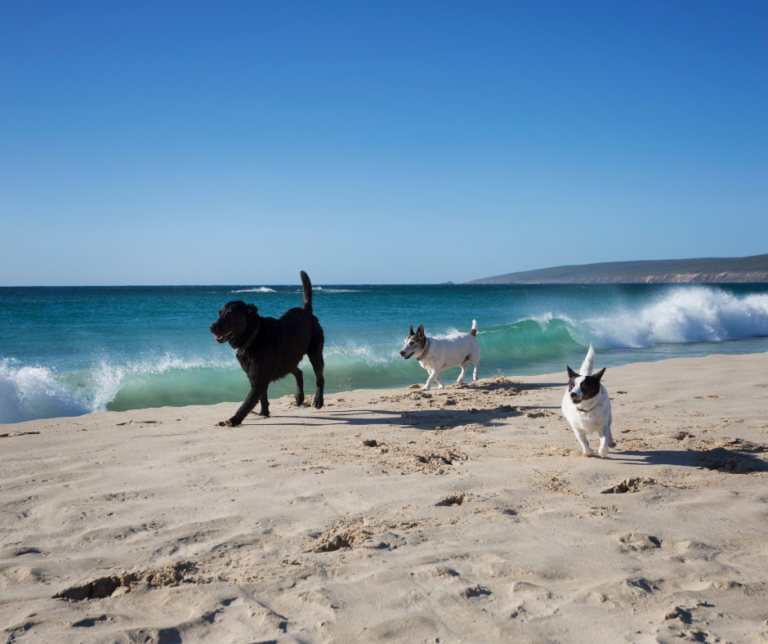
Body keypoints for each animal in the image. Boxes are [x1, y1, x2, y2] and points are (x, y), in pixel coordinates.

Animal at [212, 270, 326, 426]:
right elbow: (262, 398)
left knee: (320, 377)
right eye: (219, 313)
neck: (253, 337)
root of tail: (306, 311)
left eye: (230, 315)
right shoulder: (256, 377)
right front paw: (264, 413)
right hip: (287, 361)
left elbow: (247, 403)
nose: (211, 327)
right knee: (299, 372)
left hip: (315, 354)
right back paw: (299, 397)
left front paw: (233, 420)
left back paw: (318, 400)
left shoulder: (259, 380)